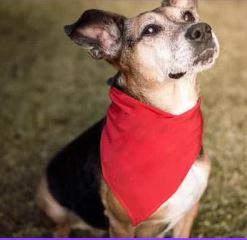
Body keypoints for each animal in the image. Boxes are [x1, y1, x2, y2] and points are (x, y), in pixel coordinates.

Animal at [35, 0, 219, 236]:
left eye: (188, 16)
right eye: (150, 30)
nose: (202, 30)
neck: (172, 117)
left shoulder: (189, 212)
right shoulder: (121, 225)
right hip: (51, 202)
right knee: (61, 226)